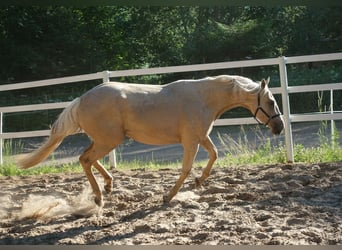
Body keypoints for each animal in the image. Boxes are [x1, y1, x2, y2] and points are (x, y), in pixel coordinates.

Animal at [17, 74, 284, 207]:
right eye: (271, 101)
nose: (279, 127)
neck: (203, 98)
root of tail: (81, 99)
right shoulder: (191, 141)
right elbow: (186, 168)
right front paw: (168, 197)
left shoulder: (201, 137)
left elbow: (214, 155)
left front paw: (199, 182)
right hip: (109, 140)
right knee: (85, 159)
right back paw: (99, 196)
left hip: (106, 140)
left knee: (87, 158)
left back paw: (108, 186)